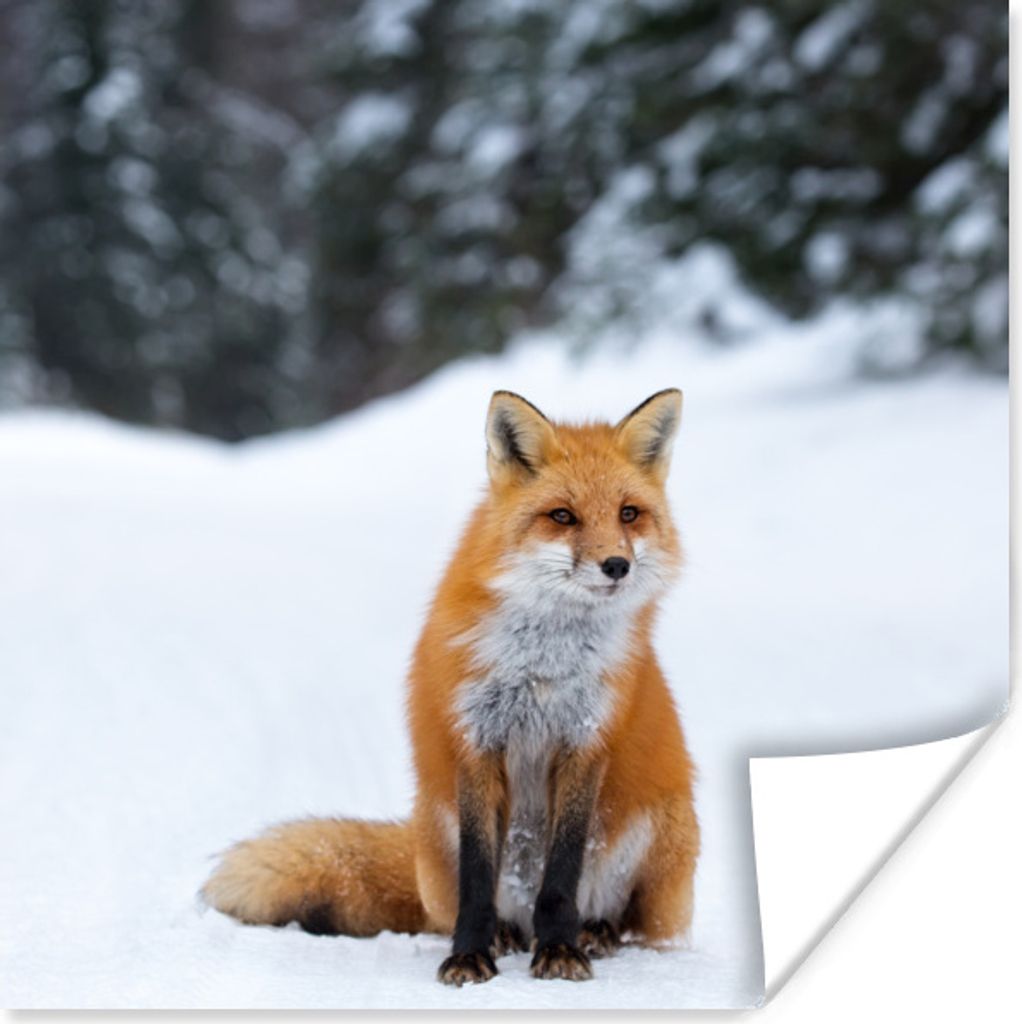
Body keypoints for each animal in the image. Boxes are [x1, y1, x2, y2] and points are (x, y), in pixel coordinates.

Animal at [203, 388, 699, 985]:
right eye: (563, 516)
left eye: (628, 513)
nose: (617, 565)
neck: (542, 664)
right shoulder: (475, 740)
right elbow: (477, 878)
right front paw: (469, 954)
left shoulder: (585, 743)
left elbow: (562, 874)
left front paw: (560, 949)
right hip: (436, 827)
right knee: (466, 907)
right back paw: (507, 934)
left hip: (665, 830)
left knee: (634, 926)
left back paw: (593, 932)